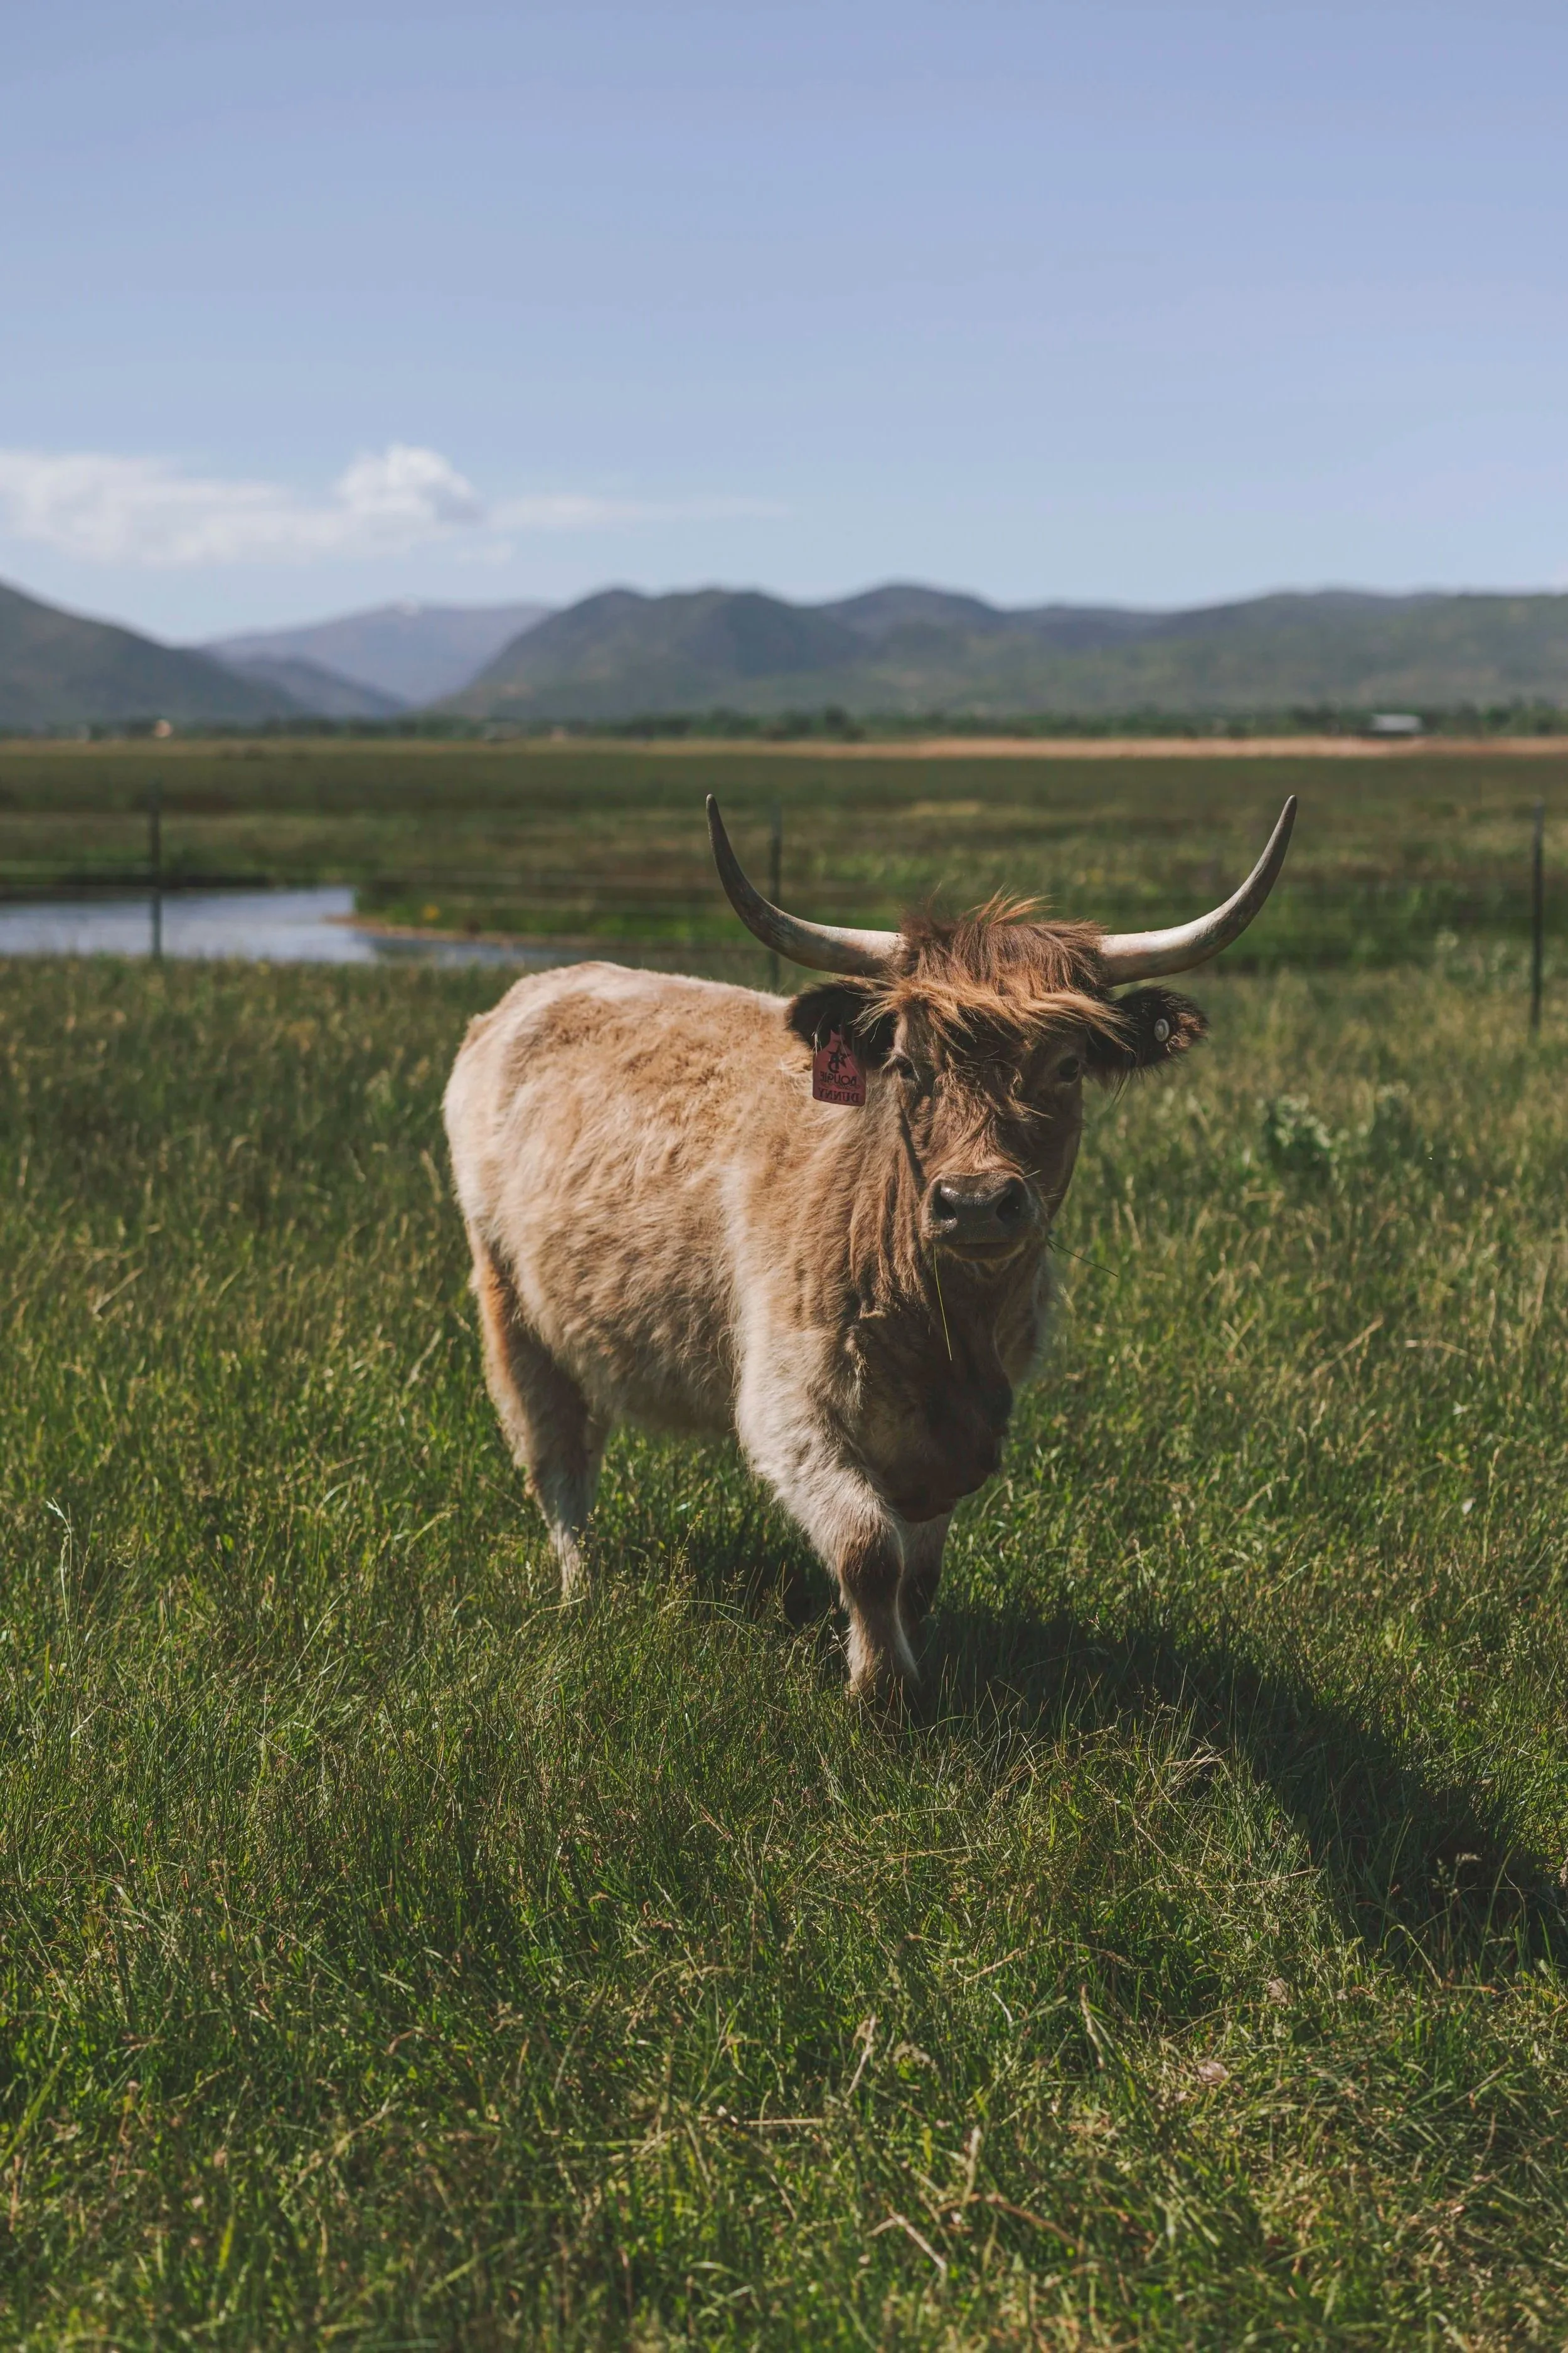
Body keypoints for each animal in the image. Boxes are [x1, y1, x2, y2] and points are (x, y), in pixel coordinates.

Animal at [442, 794, 1295, 1698]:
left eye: (1066, 1067)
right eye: (910, 1063)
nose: (975, 1203)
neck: (939, 1324)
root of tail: (539, 986)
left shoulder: (954, 1438)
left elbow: (918, 1572)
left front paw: (911, 1664)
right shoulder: (786, 1406)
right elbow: (867, 1550)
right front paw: (878, 1687)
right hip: (510, 1302)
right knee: (556, 1456)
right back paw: (582, 1592)